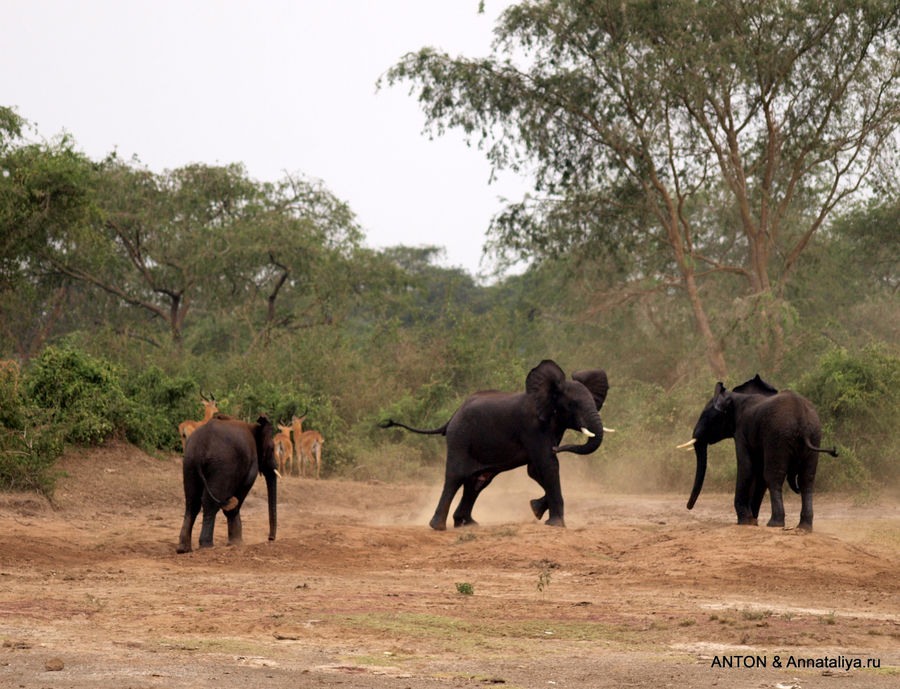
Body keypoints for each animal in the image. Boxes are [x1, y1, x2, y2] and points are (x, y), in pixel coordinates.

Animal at [173, 412, 278, 552]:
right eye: (272, 449)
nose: (270, 538)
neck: (253, 426)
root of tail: (201, 446)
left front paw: (236, 543)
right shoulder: (251, 465)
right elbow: (243, 489)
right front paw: (237, 544)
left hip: (189, 463)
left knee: (192, 501)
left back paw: (183, 549)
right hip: (222, 464)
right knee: (209, 502)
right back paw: (206, 546)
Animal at [376, 360, 608, 532]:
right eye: (572, 404)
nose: (556, 448)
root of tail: (451, 418)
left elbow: (535, 469)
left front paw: (536, 509)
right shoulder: (533, 428)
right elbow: (547, 465)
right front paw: (556, 524)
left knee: (477, 481)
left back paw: (467, 523)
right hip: (460, 438)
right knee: (456, 477)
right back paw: (438, 526)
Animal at [680, 374, 840, 528]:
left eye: (706, 415)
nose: (688, 507)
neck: (734, 397)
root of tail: (801, 418)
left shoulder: (742, 432)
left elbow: (746, 467)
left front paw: (745, 521)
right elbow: (757, 470)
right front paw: (753, 520)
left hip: (778, 436)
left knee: (773, 476)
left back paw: (774, 524)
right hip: (814, 434)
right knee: (806, 478)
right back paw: (804, 527)